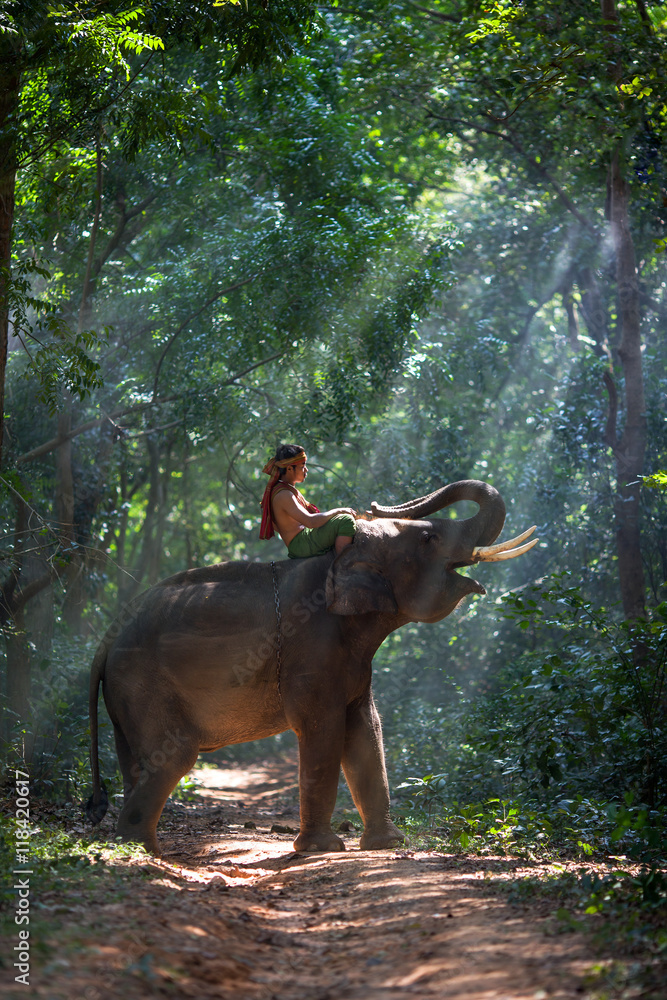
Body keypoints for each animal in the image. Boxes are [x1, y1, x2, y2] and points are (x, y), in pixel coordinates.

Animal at [86, 479, 537, 855]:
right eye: (429, 538)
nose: (371, 505)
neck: (339, 557)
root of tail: (106, 639)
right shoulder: (311, 648)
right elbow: (323, 729)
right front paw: (322, 849)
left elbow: (367, 729)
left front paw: (388, 844)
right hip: (142, 683)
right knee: (172, 757)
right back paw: (143, 855)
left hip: (125, 698)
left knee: (136, 762)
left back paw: (141, 849)